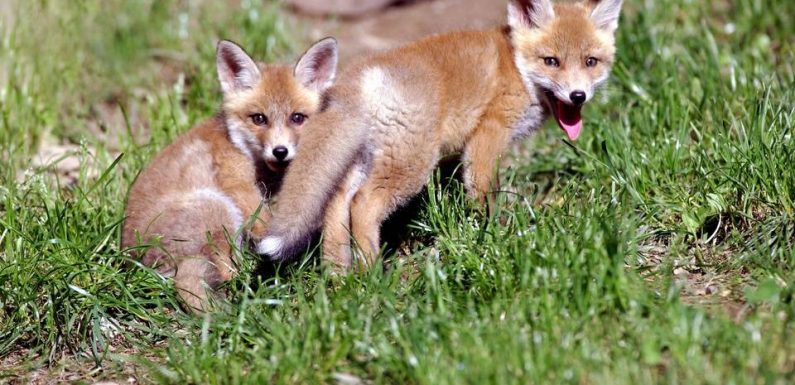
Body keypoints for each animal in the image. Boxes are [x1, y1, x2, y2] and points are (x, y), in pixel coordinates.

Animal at [122, 37, 338, 310]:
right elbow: (265, 224)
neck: (240, 146)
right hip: (218, 208)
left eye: (297, 118)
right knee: (228, 271)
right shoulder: (237, 184)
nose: (280, 151)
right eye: (259, 119)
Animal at [258, 0, 624, 268]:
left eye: (591, 61)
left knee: (337, 207)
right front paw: (494, 236)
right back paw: (374, 271)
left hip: (368, 161)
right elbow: (484, 192)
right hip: (411, 164)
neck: (518, 69)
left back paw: (343, 276)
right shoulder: (488, 134)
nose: (578, 96)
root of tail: (358, 77)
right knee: (363, 204)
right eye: (551, 61)